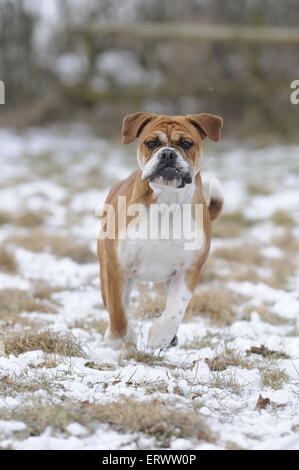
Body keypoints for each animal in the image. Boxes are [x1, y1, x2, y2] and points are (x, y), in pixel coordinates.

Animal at [99, 113, 225, 348]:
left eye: (186, 143)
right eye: (151, 143)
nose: (167, 154)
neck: (167, 201)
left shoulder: (188, 270)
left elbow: (175, 311)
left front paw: (160, 336)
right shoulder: (117, 267)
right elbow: (118, 311)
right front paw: (119, 339)